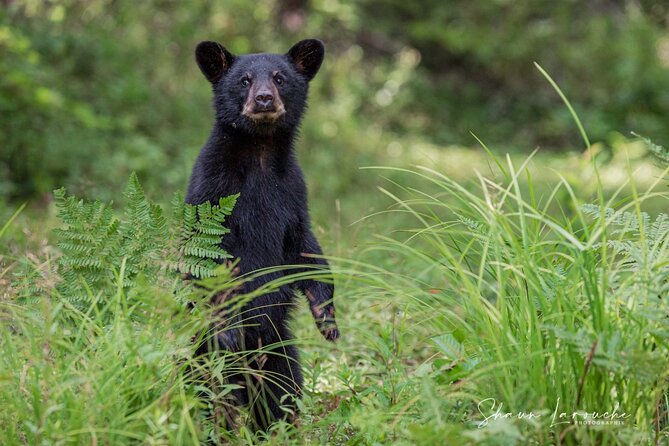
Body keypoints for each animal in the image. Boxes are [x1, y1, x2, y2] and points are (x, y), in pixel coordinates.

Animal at [184, 40, 336, 430]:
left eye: (280, 78)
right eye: (244, 80)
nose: (265, 98)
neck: (259, 153)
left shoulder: (292, 195)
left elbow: (307, 250)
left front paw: (328, 320)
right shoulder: (212, 189)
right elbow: (209, 255)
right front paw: (227, 328)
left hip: (279, 349)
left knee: (283, 389)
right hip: (201, 352)